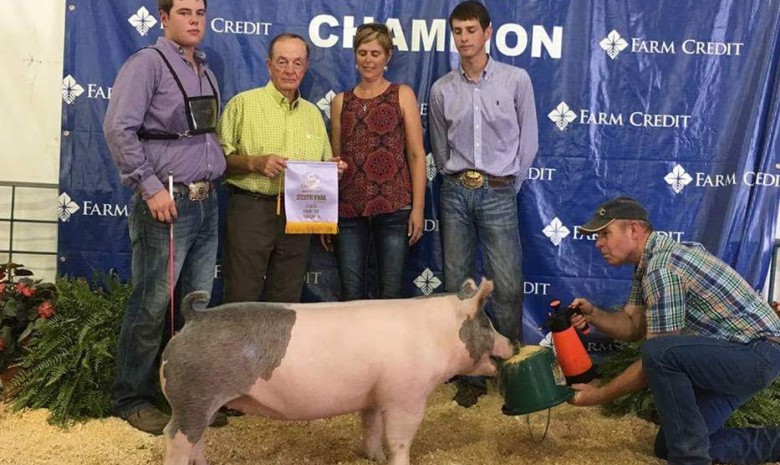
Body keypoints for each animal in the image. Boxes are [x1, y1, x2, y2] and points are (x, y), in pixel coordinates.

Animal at [160, 278, 512, 464]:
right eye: (487, 324)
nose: (513, 342)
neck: (436, 334)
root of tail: (196, 318)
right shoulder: (407, 396)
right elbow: (400, 438)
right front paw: (396, 459)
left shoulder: (374, 396)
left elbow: (371, 428)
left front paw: (374, 457)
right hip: (192, 396)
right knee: (175, 435)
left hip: (202, 402)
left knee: (197, 438)